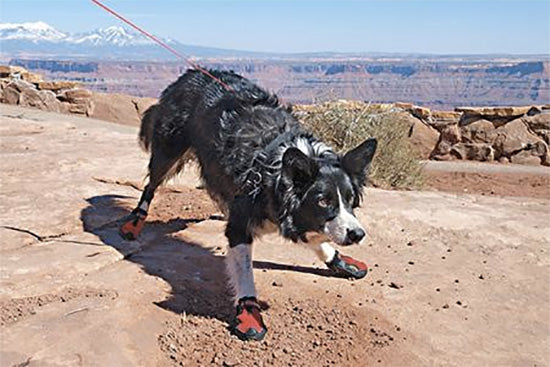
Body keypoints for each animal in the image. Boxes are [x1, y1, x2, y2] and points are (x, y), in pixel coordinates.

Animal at [119, 69, 380, 342]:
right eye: (323, 201)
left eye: (350, 200)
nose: (358, 235)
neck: (274, 173)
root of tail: (189, 73)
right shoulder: (241, 225)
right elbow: (245, 271)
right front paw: (249, 312)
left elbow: (317, 238)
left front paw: (339, 261)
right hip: (170, 151)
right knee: (151, 185)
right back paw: (134, 222)